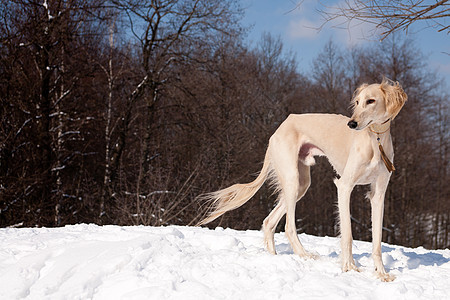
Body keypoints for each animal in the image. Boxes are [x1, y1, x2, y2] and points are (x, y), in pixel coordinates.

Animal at [199, 78, 406, 282]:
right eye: (357, 102)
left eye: (370, 101)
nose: (352, 124)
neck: (375, 140)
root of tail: (281, 126)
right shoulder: (344, 186)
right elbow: (347, 233)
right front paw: (349, 268)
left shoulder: (378, 194)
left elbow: (377, 240)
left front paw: (381, 273)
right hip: (292, 178)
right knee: (289, 226)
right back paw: (305, 255)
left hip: (301, 184)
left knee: (269, 221)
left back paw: (274, 257)